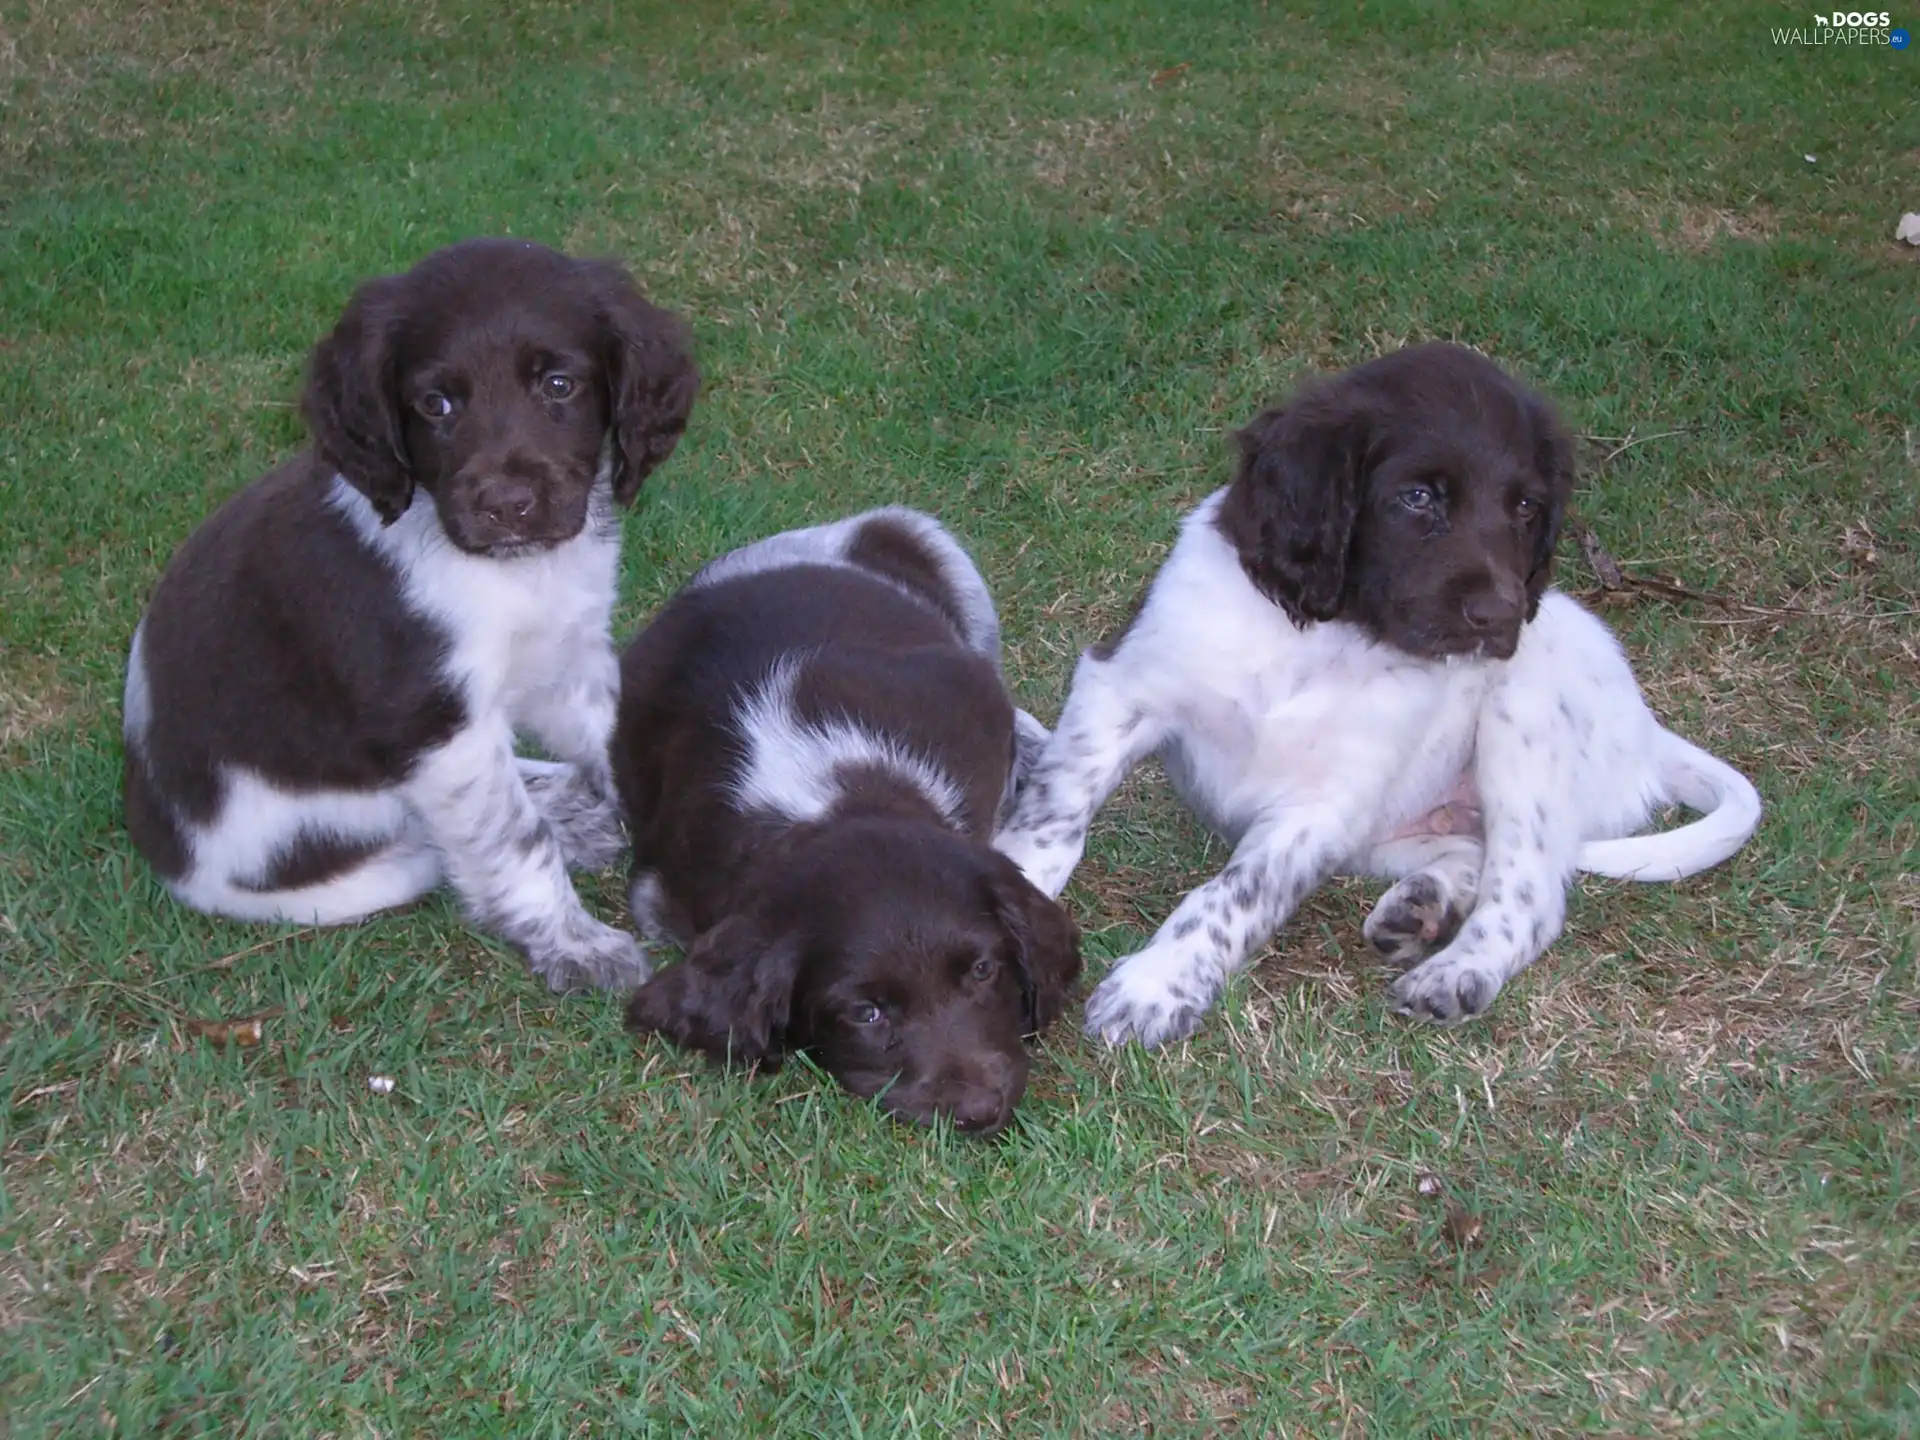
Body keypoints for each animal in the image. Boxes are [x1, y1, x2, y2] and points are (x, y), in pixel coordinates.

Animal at [123, 242, 702, 998]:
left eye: (559, 386)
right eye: (435, 404)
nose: (507, 506)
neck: (511, 572)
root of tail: (162, 842)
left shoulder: (567, 657)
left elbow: (613, 738)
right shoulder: (432, 724)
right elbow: (515, 839)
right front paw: (576, 945)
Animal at [998, 349, 1758, 1052]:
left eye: (1525, 506)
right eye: (1418, 497)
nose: (1500, 617)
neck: (1322, 636)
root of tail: (1650, 730)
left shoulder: (1318, 808)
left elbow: (1230, 896)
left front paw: (1157, 984)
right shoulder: (1124, 684)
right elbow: (1056, 808)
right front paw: (1014, 879)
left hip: (1524, 718)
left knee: (1530, 894)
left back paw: (1457, 970)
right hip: (1386, 833)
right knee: (1472, 853)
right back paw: (1421, 906)